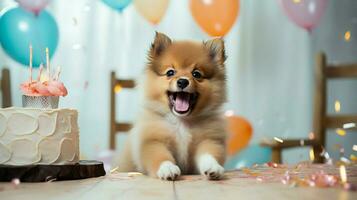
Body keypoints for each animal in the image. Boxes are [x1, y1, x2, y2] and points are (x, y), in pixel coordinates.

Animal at [115, 32, 227, 180]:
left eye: (196, 74)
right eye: (170, 72)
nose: (182, 81)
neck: (181, 122)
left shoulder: (208, 139)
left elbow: (209, 154)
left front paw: (213, 167)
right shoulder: (153, 141)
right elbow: (159, 156)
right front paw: (167, 168)